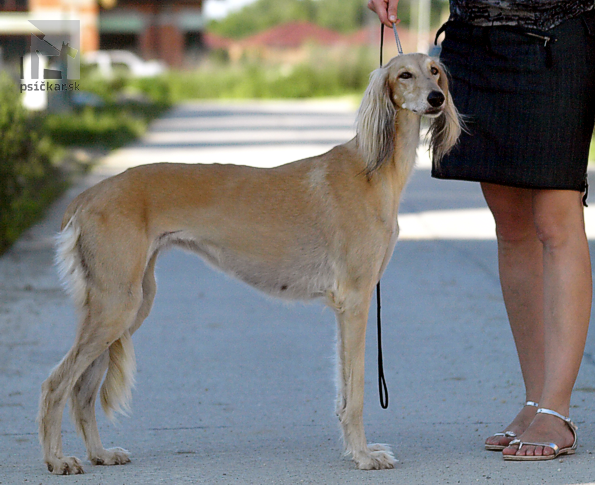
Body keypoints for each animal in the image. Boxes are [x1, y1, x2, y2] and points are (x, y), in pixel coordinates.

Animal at [39, 54, 464, 472]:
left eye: (434, 71)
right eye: (405, 74)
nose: (436, 99)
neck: (373, 170)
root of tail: (86, 196)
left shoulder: (345, 307)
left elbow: (344, 392)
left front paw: (354, 450)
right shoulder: (357, 300)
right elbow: (357, 392)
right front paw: (362, 456)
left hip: (130, 303)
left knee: (82, 389)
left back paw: (100, 453)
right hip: (117, 303)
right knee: (56, 383)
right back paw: (57, 459)